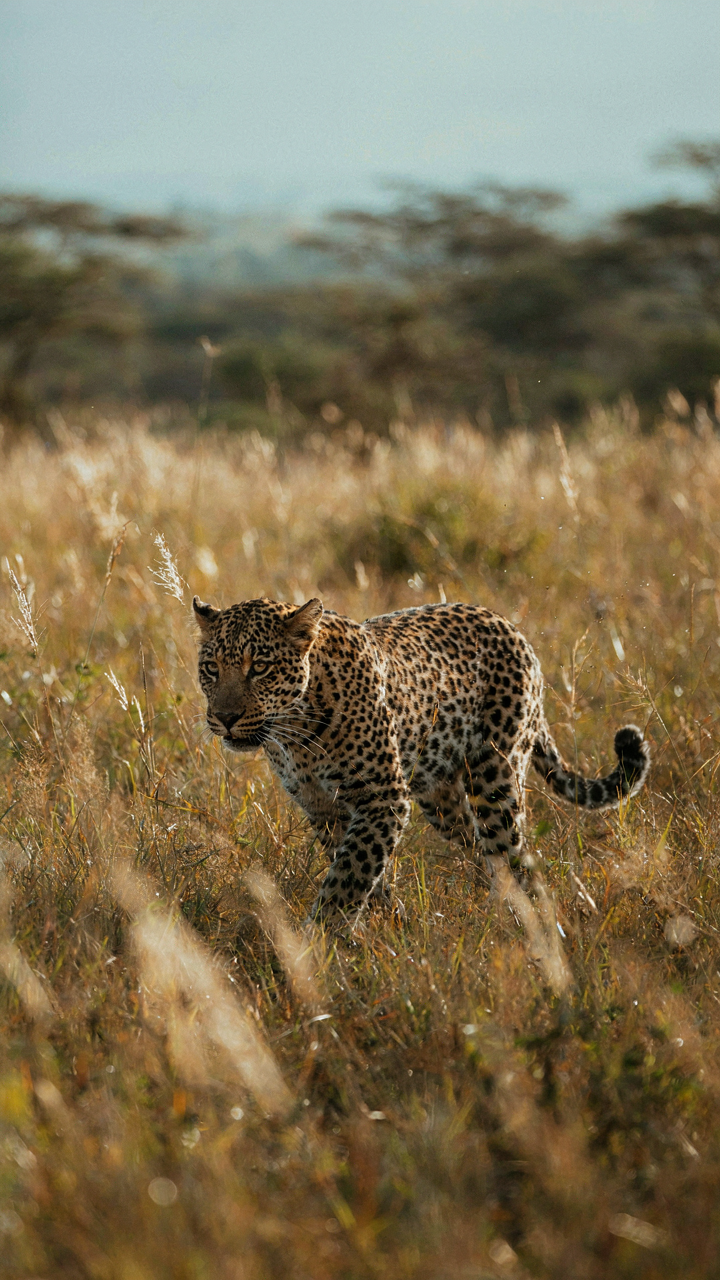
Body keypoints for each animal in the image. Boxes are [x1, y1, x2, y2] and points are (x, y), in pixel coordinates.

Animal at [193, 594, 650, 920]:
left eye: (260, 667)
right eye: (211, 668)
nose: (225, 718)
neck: (295, 733)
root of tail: (513, 629)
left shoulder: (382, 799)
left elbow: (348, 876)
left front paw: (319, 942)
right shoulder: (323, 809)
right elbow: (358, 869)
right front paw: (385, 923)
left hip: (495, 778)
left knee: (513, 856)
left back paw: (525, 923)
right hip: (442, 800)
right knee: (483, 848)